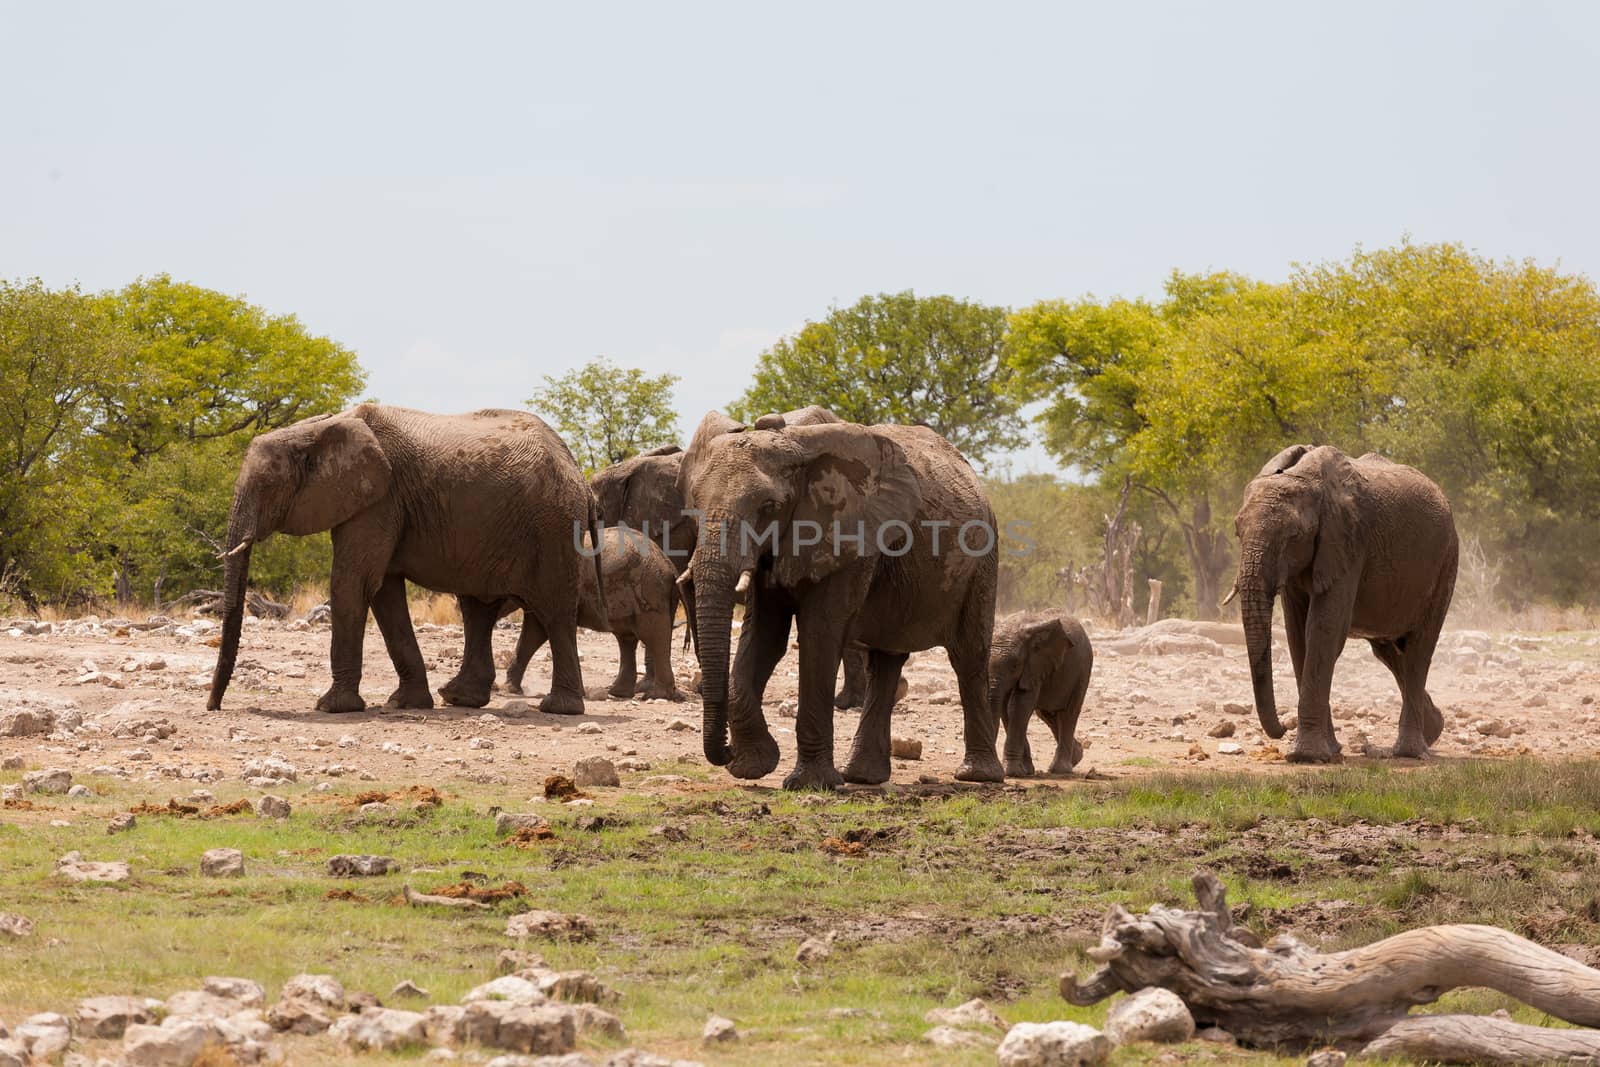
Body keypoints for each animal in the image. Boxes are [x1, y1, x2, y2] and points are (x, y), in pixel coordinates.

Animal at [203, 406, 598, 716]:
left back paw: (559, 708)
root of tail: (579, 472)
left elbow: (353, 582)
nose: (214, 706)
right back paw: (458, 698)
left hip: (553, 526)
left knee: (554, 611)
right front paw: (405, 703)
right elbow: (383, 591)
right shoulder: (375, 502)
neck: (316, 428)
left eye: (267, 485)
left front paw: (332, 706)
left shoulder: (378, 499)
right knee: (478, 611)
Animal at [502, 524, 684, 700]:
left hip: (648, 589)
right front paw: (510, 689)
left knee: (653, 636)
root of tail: (669, 566)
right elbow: (533, 633)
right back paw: (618, 693)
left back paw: (655, 695)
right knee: (627, 638)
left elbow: (539, 631)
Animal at [675, 409, 998, 793]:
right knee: (886, 661)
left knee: (969, 656)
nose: (725, 752)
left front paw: (809, 784)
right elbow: (764, 636)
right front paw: (753, 766)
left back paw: (979, 776)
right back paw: (862, 776)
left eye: (769, 507)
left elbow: (820, 633)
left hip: (983, 561)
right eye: (695, 503)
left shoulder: (850, 534)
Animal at [985, 614, 1088, 780]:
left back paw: (1060, 769)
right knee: (1047, 715)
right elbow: (1006, 709)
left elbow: (1019, 706)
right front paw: (1026, 771)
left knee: (1068, 714)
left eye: (1015, 666)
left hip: (1082, 670)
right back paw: (1076, 757)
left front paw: (1013, 773)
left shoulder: (1034, 666)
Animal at [1222, 447, 1465, 764]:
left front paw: (1307, 757)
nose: (1282, 728)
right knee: (1389, 651)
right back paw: (1433, 730)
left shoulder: (1348, 543)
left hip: (1446, 561)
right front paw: (1330, 751)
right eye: (1238, 532)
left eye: (1293, 536)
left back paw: (1409, 752)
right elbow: (1298, 635)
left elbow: (1323, 630)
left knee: (1418, 650)